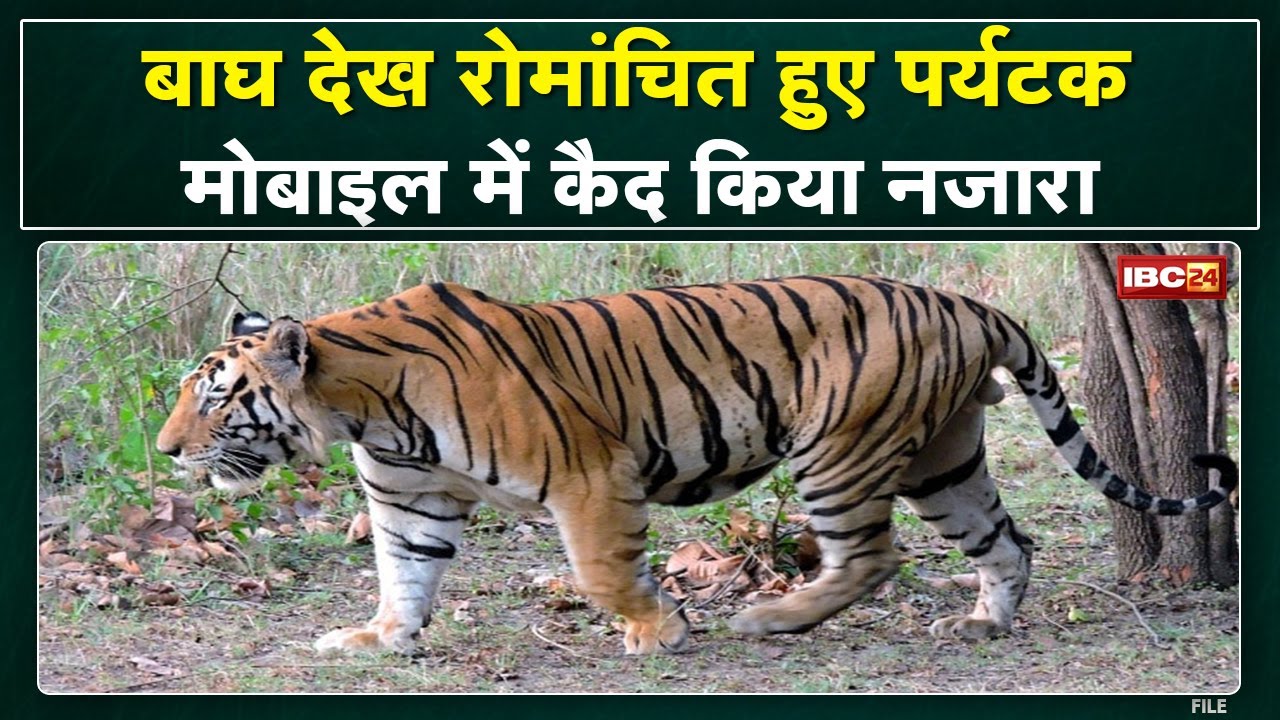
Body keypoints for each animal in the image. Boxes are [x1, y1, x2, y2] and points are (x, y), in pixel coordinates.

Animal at [155, 276, 1237, 655]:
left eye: (213, 397)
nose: (165, 452)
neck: (363, 410)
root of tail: (967, 302)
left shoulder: (589, 474)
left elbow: (602, 570)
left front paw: (660, 631)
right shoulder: (412, 498)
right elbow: (404, 576)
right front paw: (377, 640)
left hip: (839, 451)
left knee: (869, 557)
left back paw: (769, 618)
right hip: (945, 459)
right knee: (1006, 542)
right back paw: (983, 622)